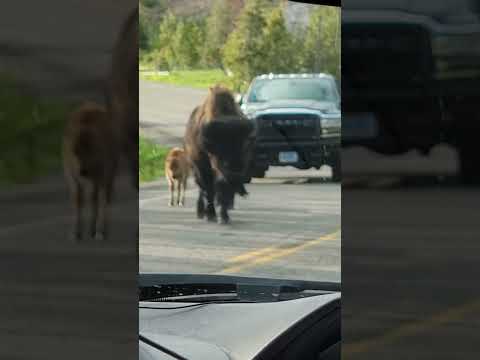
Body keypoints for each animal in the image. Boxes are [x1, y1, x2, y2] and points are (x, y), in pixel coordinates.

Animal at [184, 85, 256, 224]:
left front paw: (224, 216)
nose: (235, 170)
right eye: (219, 150)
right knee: (202, 189)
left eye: (244, 147)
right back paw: (201, 212)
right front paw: (211, 215)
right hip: (196, 167)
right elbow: (209, 189)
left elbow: (224, 191)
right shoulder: (206, 169)